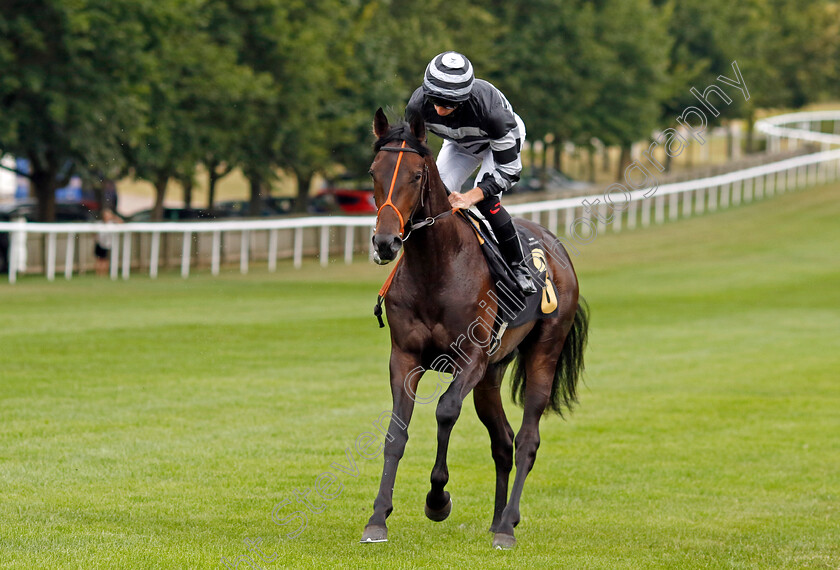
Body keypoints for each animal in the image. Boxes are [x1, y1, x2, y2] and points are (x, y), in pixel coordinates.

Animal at [362, 106, 592, 544]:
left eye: (415, 175)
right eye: (373, 172)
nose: (386, 242)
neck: (437, 268)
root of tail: (556, 247)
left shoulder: (471, 357)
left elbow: (445, 410)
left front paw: (437, 499)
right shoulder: (405, 357)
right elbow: (397, 430)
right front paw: (378, 517)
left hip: (543, 352)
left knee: (527, 439)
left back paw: (507, 526)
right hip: (492, 375)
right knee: (502, 441)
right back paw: (498, 518)